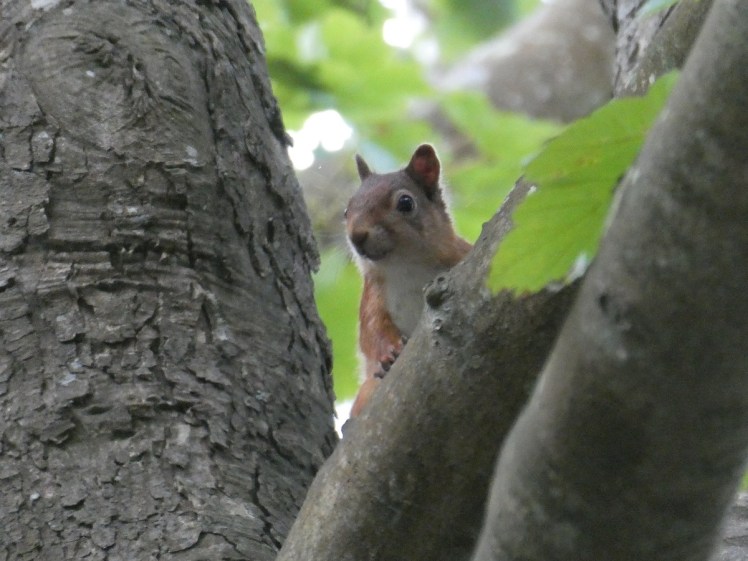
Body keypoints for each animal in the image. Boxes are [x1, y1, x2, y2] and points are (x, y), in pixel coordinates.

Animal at [345, 144, 472, 417]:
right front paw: (388, 353)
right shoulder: (373, 295)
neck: (406, 266)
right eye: (346, 210)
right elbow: (372, 332)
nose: (356, 236)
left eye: (405, 203)